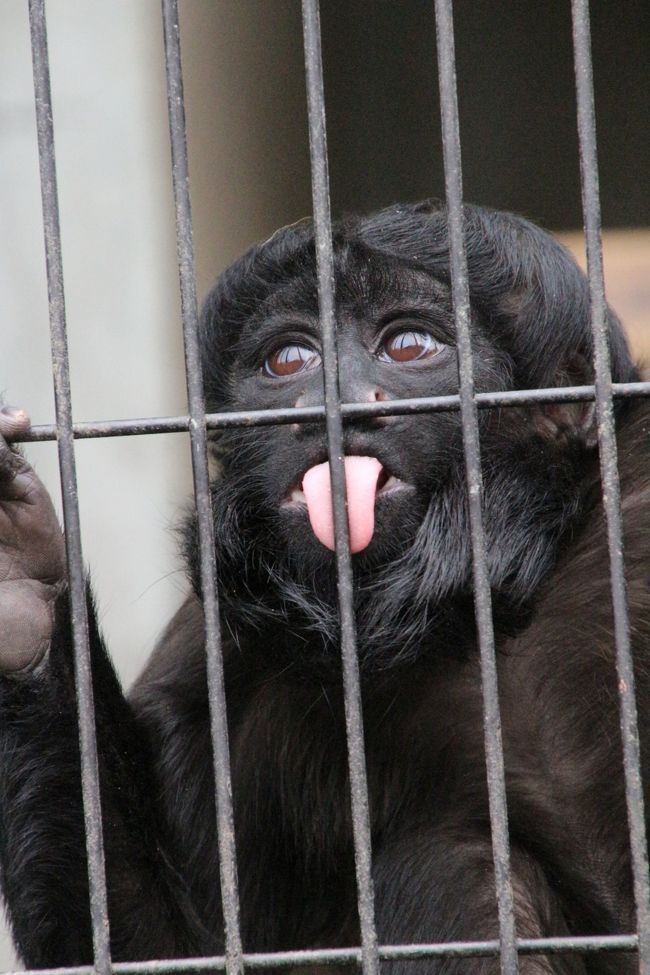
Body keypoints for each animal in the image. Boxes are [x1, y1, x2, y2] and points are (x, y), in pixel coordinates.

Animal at [1, 202, 648, 972]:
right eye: (289, 359)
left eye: (408, 345)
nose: (327, 402)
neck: (470, 608)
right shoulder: (214, 646)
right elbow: (169, 946)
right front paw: (21, 580)